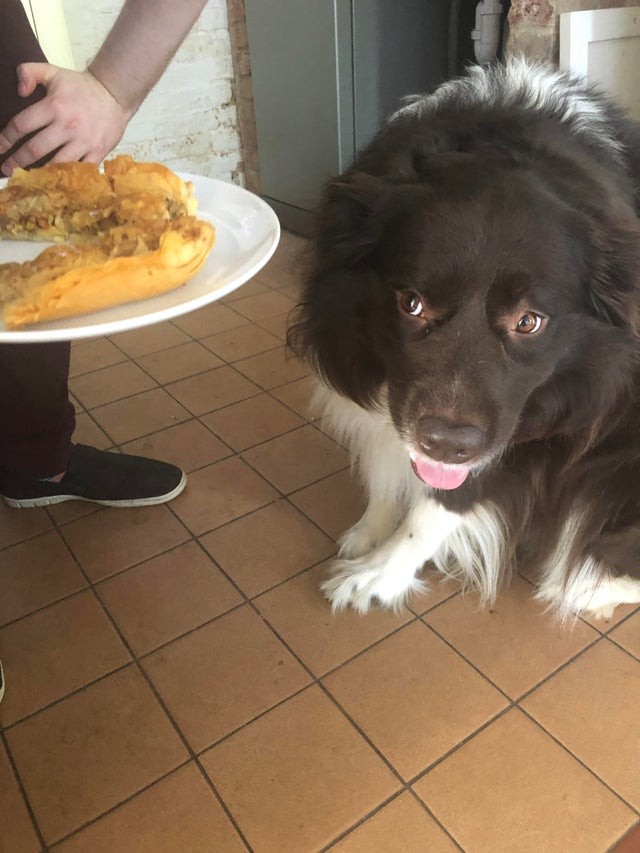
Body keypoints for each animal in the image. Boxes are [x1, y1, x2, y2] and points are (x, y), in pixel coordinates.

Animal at [292, 58, 640, 620]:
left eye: (529, 322)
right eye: (411, 303)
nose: (447, 445)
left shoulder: (561, 409)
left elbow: (443, 502)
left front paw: (379, 574)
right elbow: (388, 459)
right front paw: (372, 528)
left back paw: (589, 587)